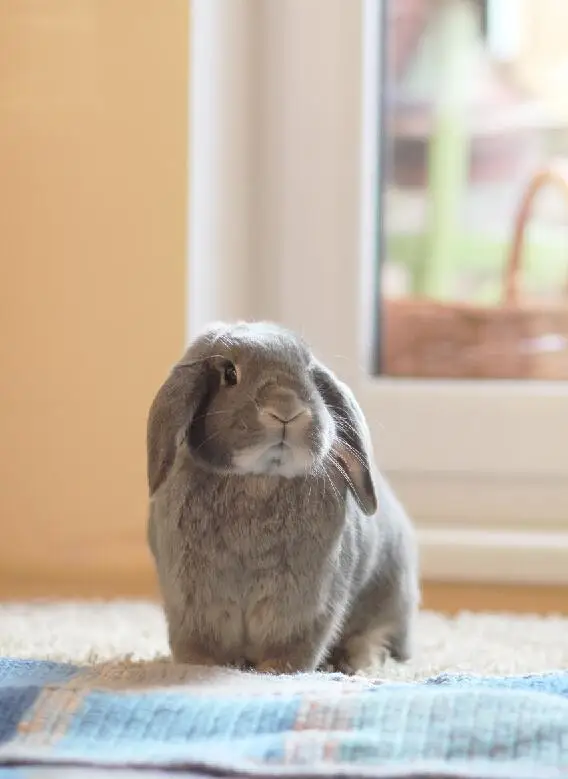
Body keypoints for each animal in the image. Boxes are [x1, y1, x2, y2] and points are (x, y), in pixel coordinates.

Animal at [147, 321, 420, 675]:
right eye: (229, 374)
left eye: (308, 372)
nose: (287, 409)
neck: (259, 480)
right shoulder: (191, 605)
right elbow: (199, 648)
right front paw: (199, 669)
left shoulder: (307, 607)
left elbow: (292, 650)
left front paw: (274, 674)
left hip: (391, 595)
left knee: (379, 637)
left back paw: (360, 664)